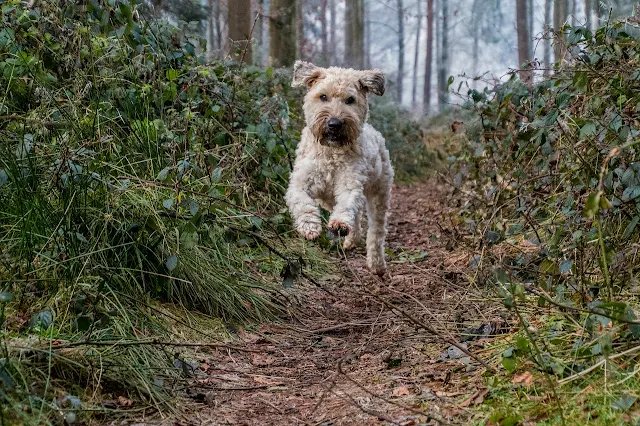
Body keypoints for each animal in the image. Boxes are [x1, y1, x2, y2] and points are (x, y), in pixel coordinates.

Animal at [286, 61, 396, 278]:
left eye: (350, 100)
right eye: (323, 96)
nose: (334, 124)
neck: (331, 153)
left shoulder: (350, 182)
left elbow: (347, 204)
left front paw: (339, 224)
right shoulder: (301, 181)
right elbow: (302, 201)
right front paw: (309, 226)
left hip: (379, 193)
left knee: (376, 231)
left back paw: (376, 263)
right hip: (327, 199)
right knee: (357, 217)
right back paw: (352, 239)